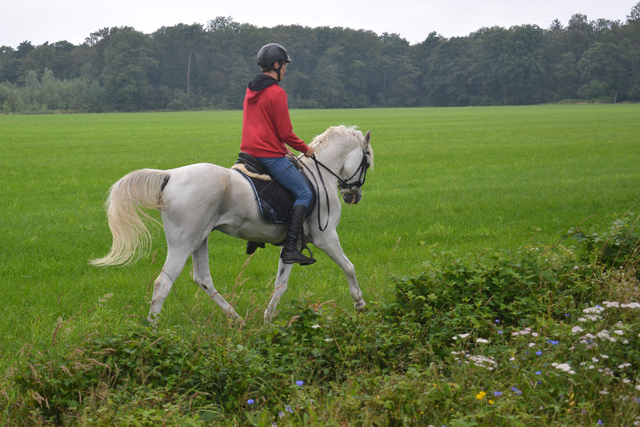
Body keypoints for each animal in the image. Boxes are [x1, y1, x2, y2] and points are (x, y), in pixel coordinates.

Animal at [89, 126, 370, 324]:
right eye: (367, 160)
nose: (353, 195)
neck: (320, 174)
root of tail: (170, 175)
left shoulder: (292, 245)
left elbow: (280, 285)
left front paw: (268, 319)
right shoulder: (327, 238)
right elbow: (350, 267)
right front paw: (360, 304)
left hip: (199, 239)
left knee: (203, 279)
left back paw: (236, 318)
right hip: (183, 243)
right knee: (162, 284)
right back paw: (153, 331)